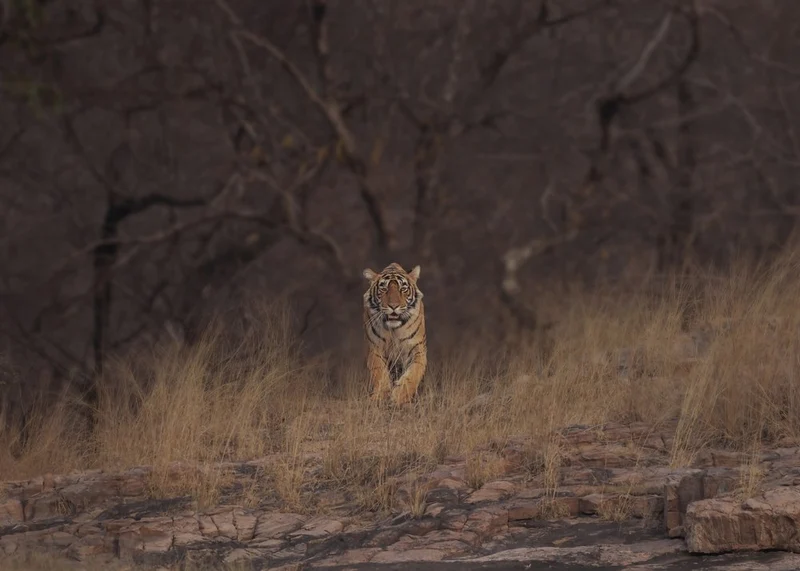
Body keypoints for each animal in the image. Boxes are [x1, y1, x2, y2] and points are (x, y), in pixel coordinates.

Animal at [362, 262, 427, 405]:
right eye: (383, 289)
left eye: (403, 288)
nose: (393, 306)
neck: (394, 330)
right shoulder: (375, 349)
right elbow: (380, 373)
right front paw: (380, 396)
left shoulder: (417, 350)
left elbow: (413, 373)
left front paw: (399, 396)